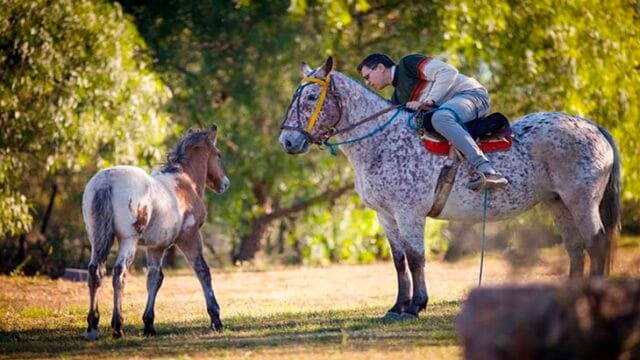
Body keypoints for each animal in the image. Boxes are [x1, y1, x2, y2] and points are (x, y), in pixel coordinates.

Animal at [278, 57, 620, 322]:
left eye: (311, 97)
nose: (288, 141)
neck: (383, 141)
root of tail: (592, 126)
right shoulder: (386, 216)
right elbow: (399, 260)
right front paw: (398, 306)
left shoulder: (409, 213)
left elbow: (416, 258)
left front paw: (416, 306)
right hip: (558, 204)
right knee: (575, 248)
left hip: (581, 201)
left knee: (596, 243)